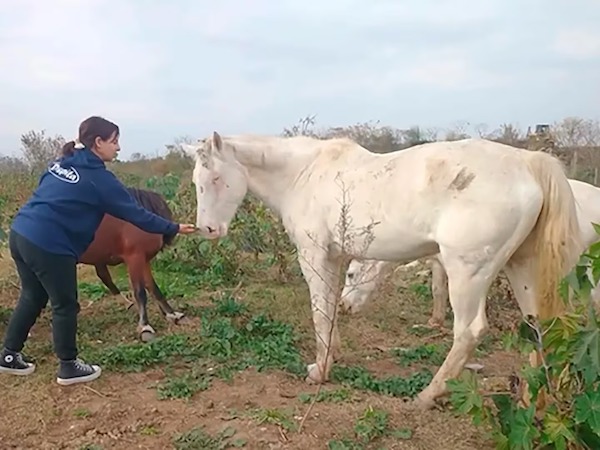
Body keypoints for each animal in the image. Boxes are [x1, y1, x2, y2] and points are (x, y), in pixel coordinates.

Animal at [78, 187, 185, 342]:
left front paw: (171, 314)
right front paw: (145, 327)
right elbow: (140, 292)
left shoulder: (144, 259)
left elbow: (153, 288)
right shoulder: (134, 258)